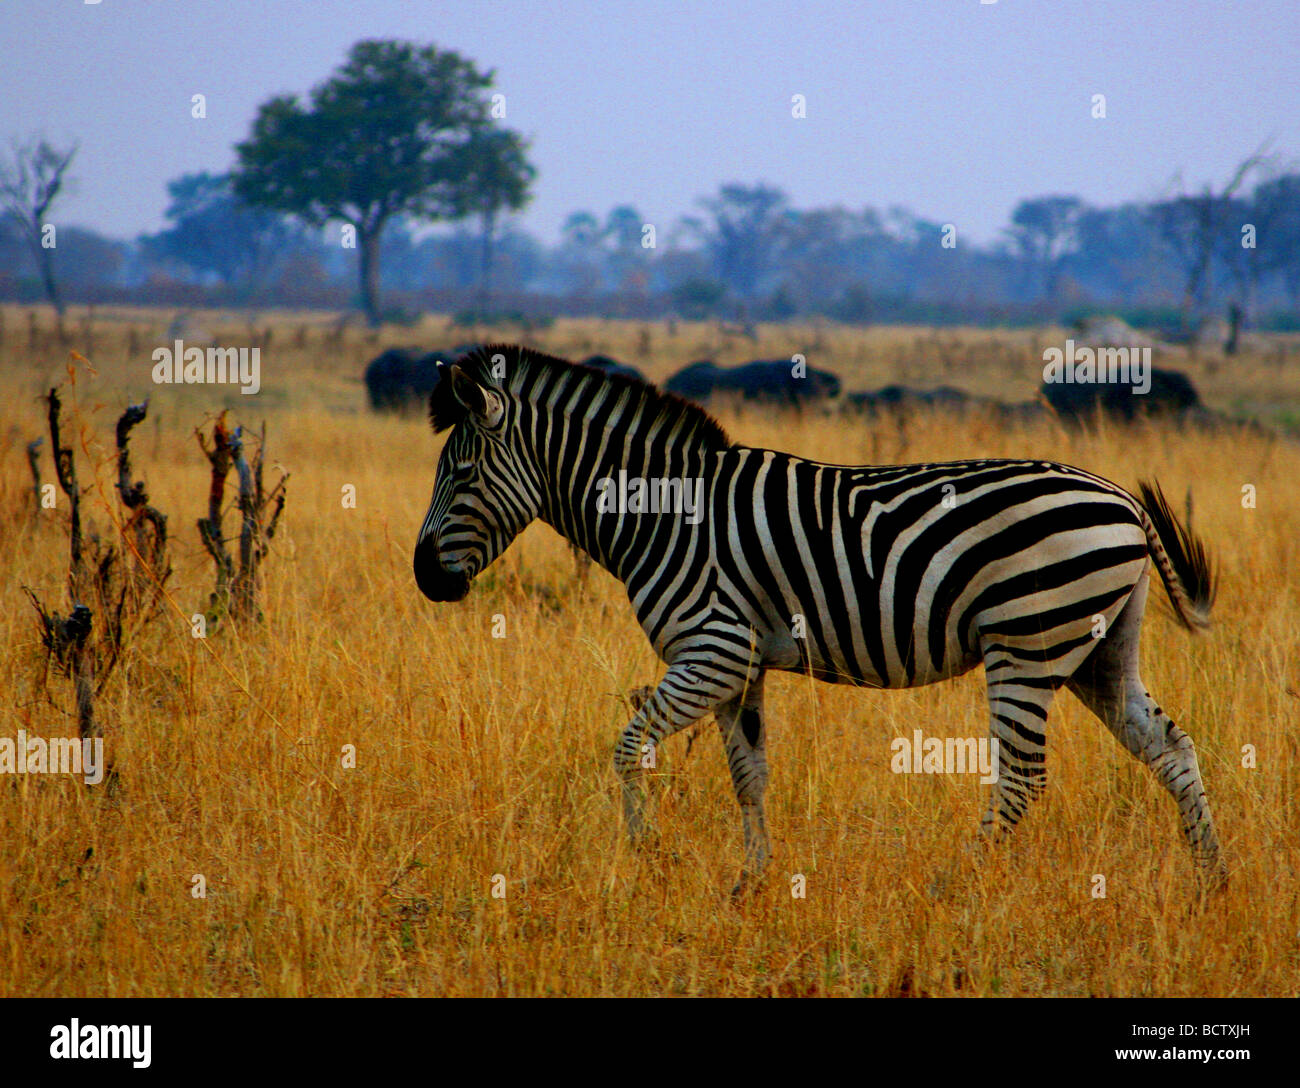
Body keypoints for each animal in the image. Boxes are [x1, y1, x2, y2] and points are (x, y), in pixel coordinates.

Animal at [416, 345, 1227, 889]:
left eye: (461, 473)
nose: (424, 578)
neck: (665, 515)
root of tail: (1120, 497)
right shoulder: (737, 665)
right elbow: (749, 773)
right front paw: (751, 882)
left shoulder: (710, 648)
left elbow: (628, 747)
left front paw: (645, 857)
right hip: (1097, 649)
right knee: (1171, 748)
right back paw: (1211, 882)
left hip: (1028, 644)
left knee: (1024, 778)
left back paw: (955, 883)